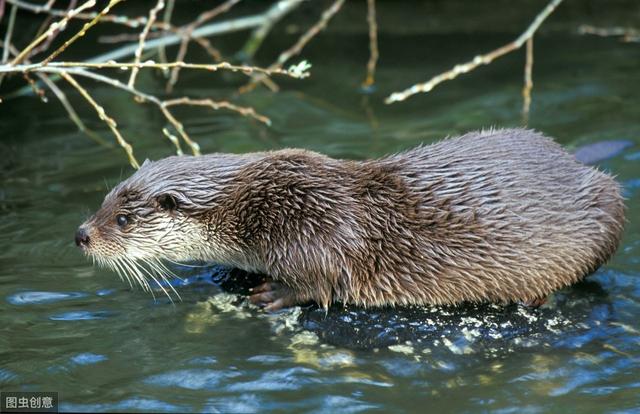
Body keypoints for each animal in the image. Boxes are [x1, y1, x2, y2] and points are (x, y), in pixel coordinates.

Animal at [75, 129, 624, 310]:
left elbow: (321, 281)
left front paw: (274, 292)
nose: (81, 234)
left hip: (610, 203)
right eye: (103, 201)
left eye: (123, 219)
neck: (258, 207)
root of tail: (574, 162)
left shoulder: (314, 229)